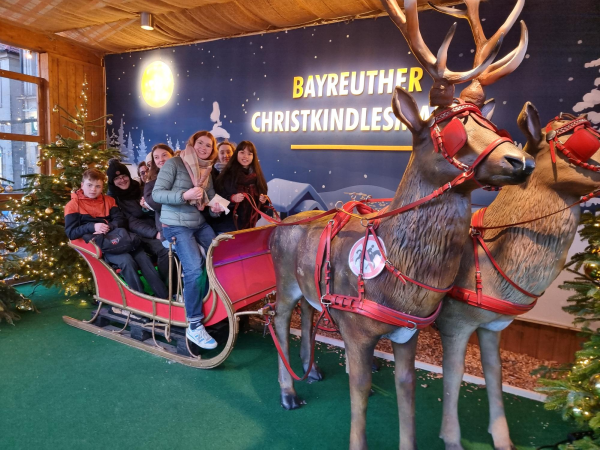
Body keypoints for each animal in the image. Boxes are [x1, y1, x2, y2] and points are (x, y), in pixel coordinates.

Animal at [268, 0, 532, 448]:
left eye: (492, 124)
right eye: (452, 128)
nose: (522, 160)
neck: (402, 284)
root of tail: (279, 225)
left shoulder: (409, 331)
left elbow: (407, 390)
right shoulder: (356, 330)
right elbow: (359, 392)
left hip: (308, 286)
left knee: (308, 312)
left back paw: (313, 369)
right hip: (284, 281)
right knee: (280, 321)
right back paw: (288, 393)